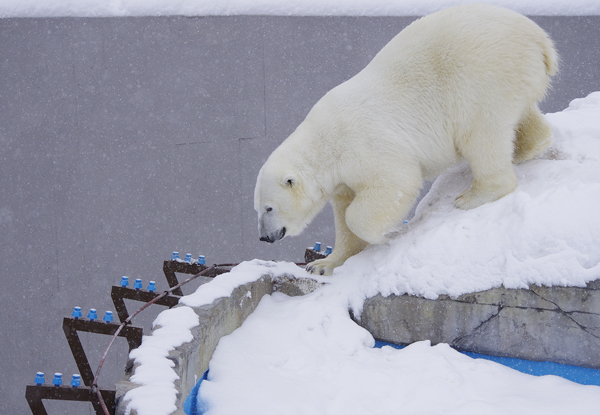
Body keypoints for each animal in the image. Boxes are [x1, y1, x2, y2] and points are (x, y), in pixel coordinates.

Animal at [252, 4, 556, 276]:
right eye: (257, 208)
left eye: (269, 207)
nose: (263, 237)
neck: (324, 144)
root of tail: (540, 40)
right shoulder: (341, 179)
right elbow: (343, 213)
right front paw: (323, 264)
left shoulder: (363, 143)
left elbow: (393, 184)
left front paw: (387, 234)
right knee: (521, 117)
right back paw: (528, 148)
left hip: (481, 77)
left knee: (480, 134)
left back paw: (473, 196)